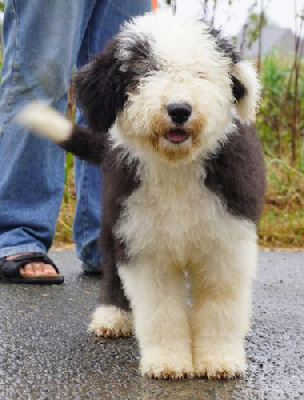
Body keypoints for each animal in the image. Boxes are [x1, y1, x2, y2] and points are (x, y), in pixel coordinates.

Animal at [19, 10, 266, 382]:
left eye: (201, 73)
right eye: (144, 72)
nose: (179, 109)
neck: (177, 168)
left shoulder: (226, 241)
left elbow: (221, 304)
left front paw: (219, 358)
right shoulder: (142, 243)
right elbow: (159, 309)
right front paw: (168, 360)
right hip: (113, 218)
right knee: (110, 269)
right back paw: (112, 316)